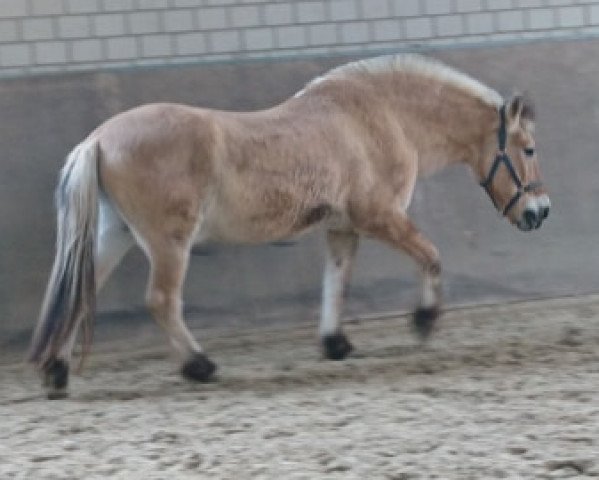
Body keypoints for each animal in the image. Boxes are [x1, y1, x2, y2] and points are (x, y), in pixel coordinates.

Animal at [30, 52, 552, 400]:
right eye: (528, 149)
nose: (539, 212)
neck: (382, 117)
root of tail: (98, 140)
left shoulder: (342, 229)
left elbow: (335, 283)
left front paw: (335, 343)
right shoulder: (379, 217)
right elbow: (430, 257)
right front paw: (423, 322)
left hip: (115, 236)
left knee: (80, 294)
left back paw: (57, 372)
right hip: (167, 242)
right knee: (161, 301)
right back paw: (200, 366)